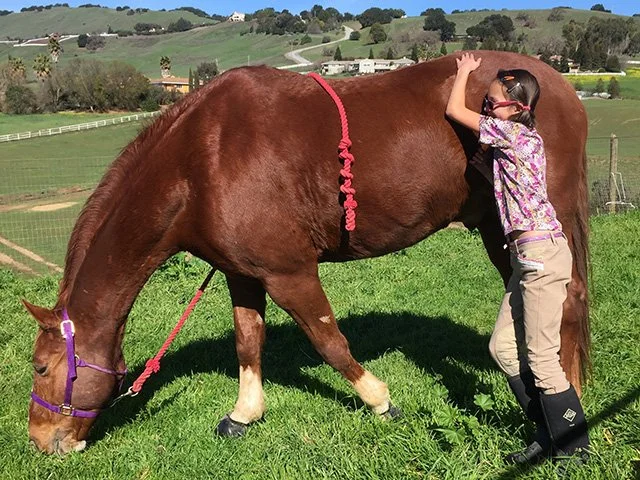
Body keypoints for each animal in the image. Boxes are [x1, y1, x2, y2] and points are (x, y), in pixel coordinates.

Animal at [24, 51, 590, 455]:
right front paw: (244, 414)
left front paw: (380, 400)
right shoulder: (243, 274)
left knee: (566, 301)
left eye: (41, 368)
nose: (39, 441)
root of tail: (564, 87)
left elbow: (329, 341)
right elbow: (248, 342)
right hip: (497, 230)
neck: (202, 160)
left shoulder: (289, 272)